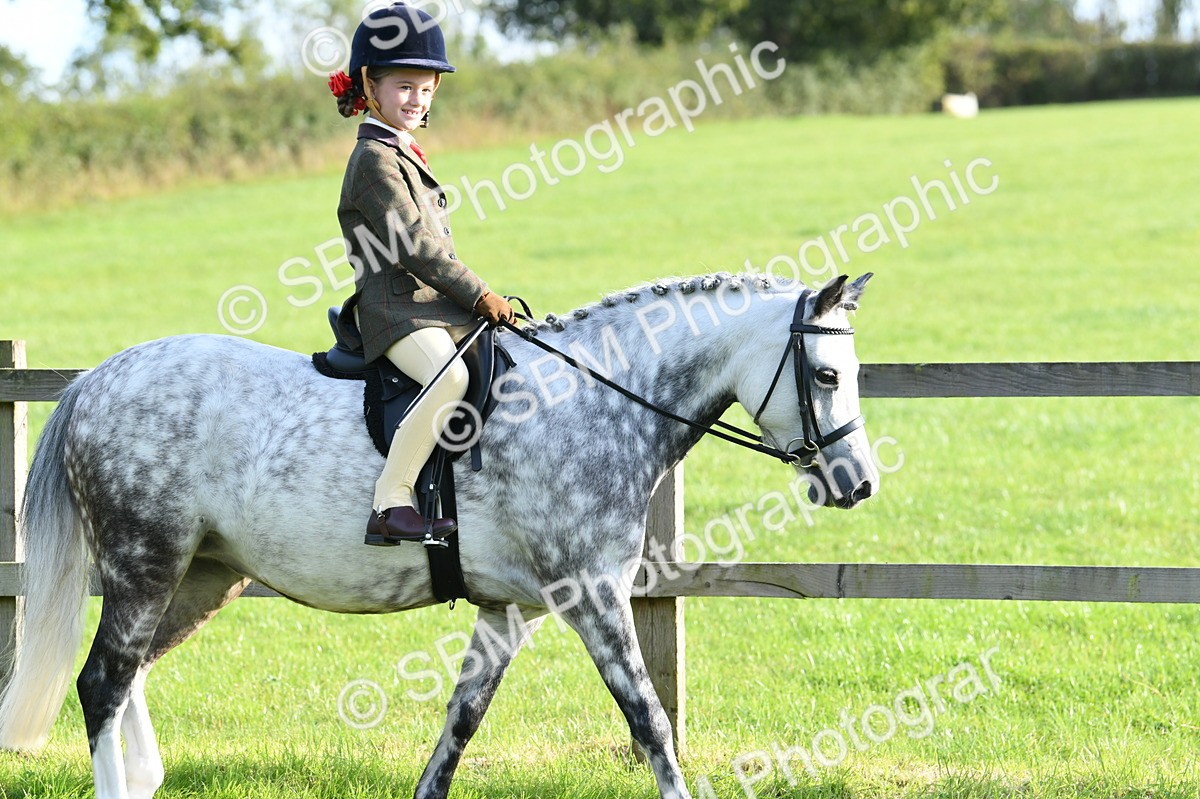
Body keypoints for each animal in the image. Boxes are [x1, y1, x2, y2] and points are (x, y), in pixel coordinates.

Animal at [0, 271, 878, 799]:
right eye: (828, 375)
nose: (859, 482)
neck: (598, 400)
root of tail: (96, 379)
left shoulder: (509, 612)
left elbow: (459, 726)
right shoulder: (593, 598)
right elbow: (649, 720)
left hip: (202, 576)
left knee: (131, 674)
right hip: (145, 563)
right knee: (103, 681)